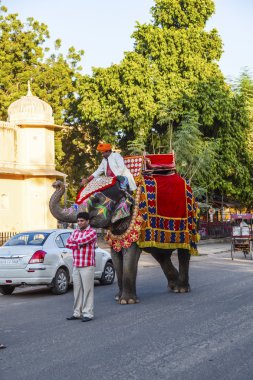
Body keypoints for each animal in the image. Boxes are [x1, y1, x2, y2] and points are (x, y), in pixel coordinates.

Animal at [49, 174, 198, 304]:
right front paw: (118, 297)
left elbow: (130, 257)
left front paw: (127, 301)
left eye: (96, 200)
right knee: (160, 255)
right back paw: (173, 286)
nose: (57, 183)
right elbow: (115, 257)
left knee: (183, 252)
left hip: (188, 224)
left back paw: (181, 289)